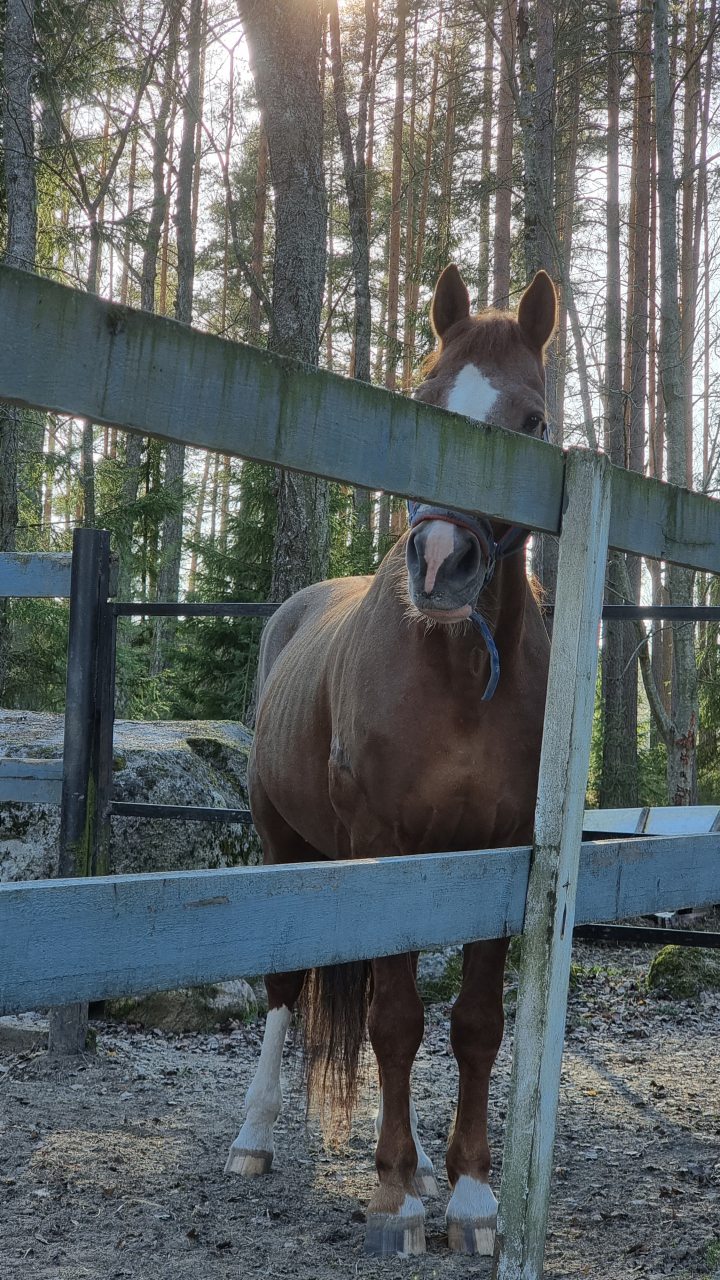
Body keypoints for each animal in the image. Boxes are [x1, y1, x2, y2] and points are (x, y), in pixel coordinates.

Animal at [224, 264, 556, 1254]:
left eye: (533, 422)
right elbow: (397, 1021)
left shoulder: (500, 852)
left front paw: (472, 1193)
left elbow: (474, 1025)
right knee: (287, 990)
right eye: (425, 403)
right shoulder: (387, 843)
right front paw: (397, 1194)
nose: (441, 563)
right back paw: (256, 1136)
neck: (458, 671)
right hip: (286, 846)